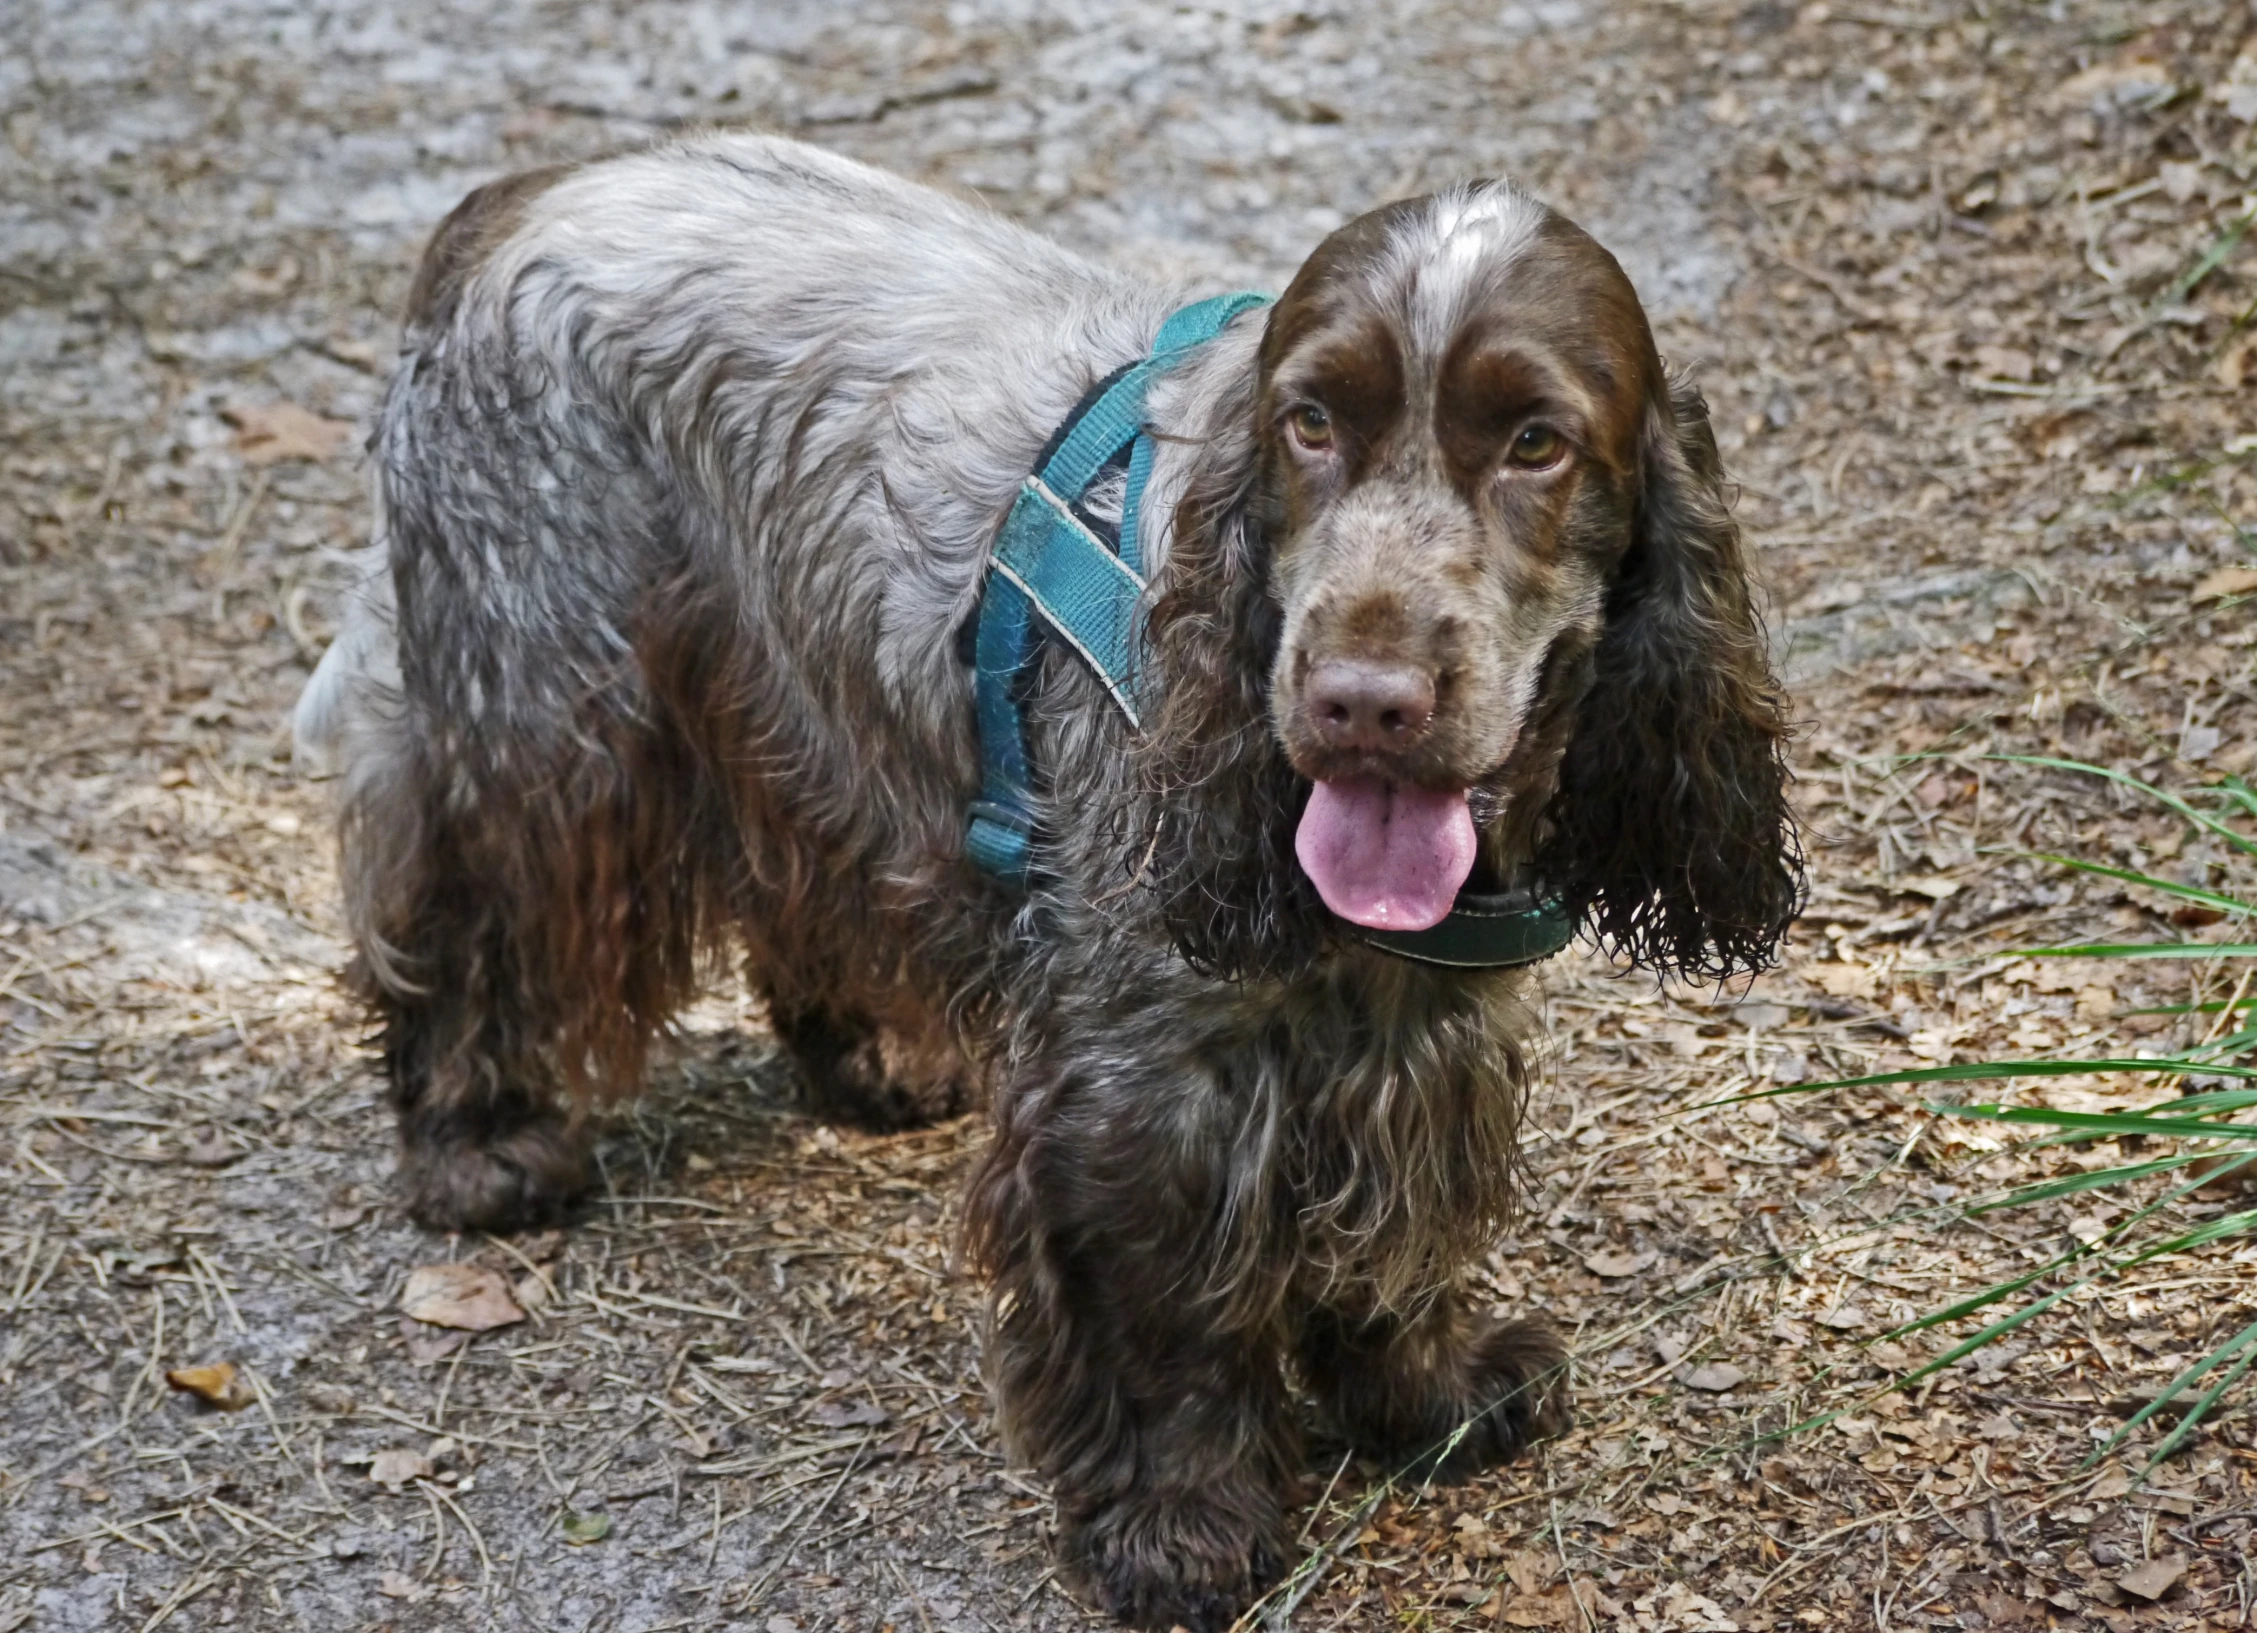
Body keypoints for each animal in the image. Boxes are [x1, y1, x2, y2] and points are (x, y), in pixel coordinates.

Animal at [300, 137, 1805, 1633]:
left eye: (1536, 442)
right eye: (1310, 424)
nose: (1361, 701)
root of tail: (525, 194)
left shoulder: (1427, 1045)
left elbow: (1407, 1234)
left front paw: (1428, 1397)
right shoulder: (1134, 1094)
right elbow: (1166, 1333)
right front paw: (1180, 1535)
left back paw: (875, 1061)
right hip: (551, 708)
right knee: (466, 909)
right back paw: (482, 1142)